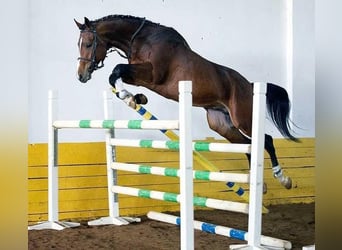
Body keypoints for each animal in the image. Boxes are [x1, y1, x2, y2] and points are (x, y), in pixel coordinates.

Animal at [74, 15, 296, 189]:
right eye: (79, 44)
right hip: (221, 124)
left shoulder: (153, 74)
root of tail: (249, 85)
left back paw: (283, 179)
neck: (142, 39)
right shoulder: (140, 76)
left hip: (243, 117)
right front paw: (135, 98)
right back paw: (257, 183)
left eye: (88, 44)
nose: (81, 76)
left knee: (266, 140)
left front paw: (130, 98)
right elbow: (116, 75)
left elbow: (117, 69)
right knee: (248, 145)